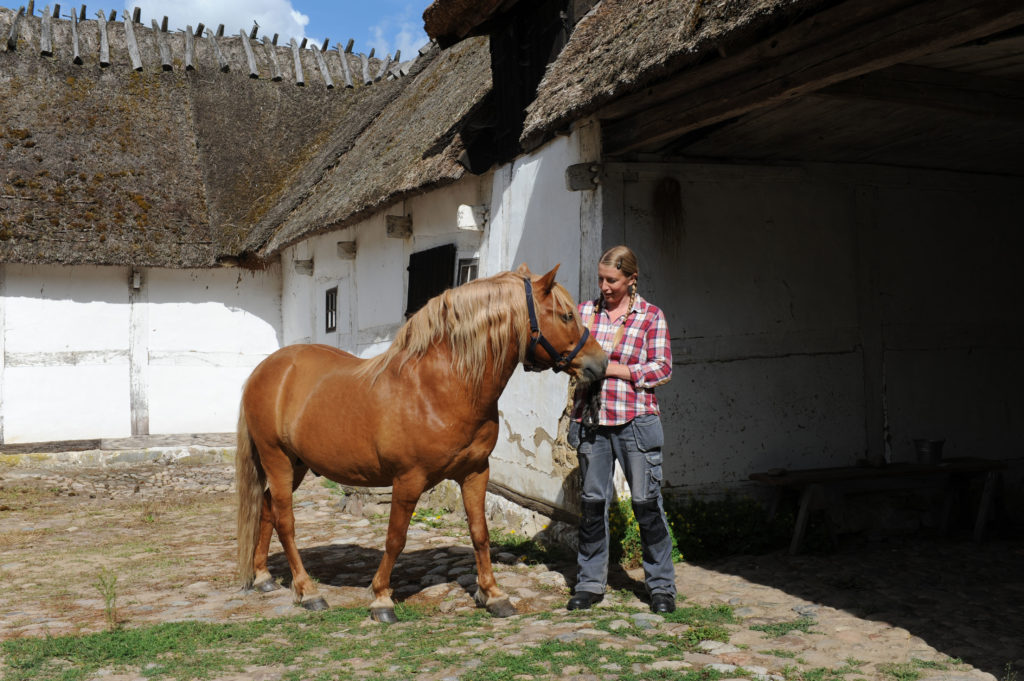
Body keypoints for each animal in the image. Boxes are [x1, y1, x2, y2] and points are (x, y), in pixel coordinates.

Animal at [234, 264, 602, 622]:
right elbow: (396, 538)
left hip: (297, 464)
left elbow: (479, 534)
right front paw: (381, 598)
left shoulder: (475, 473)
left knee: (267, 506)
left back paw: (263, 576)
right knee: (285, 521)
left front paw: (494, 595)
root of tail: (267, 368)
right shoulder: (408, 480)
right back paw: (308, 592)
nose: (600, 363)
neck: (440, 387)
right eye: (566, 315)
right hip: (277, 459)